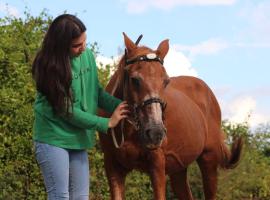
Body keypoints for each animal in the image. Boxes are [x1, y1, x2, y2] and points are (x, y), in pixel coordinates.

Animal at [98, 33, 243, 200]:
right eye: (135, 79)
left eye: (166, 81)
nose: (155, 132)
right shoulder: (113, 167)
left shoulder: (157, 164)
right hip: (179, 169)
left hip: (209, 160)